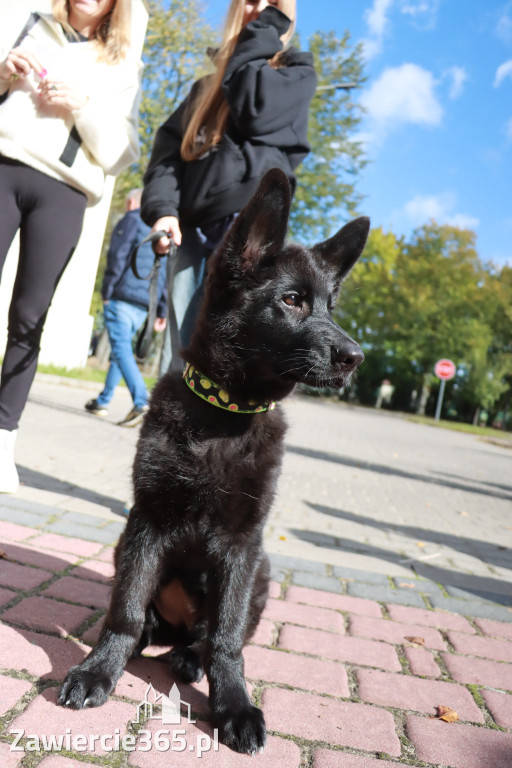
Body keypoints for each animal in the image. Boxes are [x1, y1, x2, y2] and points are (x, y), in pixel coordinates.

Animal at [58, 170, 370, 756]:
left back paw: (189, 657)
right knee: (147, 618)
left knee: (207, 635)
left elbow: (227, 638)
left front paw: (234, 705)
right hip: (125, 546)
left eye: (330, 309)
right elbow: (125, 609)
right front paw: (99, 670)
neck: (226, 417)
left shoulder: (242, 544)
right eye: (292, 300)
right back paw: (150, 641)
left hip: (261, 569)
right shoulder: (148, 522)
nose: (355, 357)